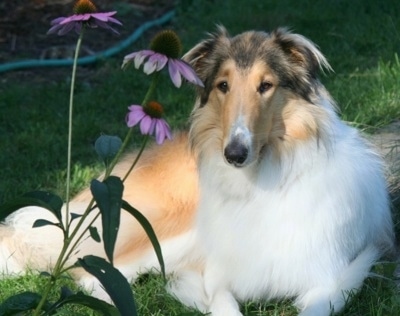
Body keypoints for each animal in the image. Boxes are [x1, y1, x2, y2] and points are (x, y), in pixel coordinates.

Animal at [0, 27, 394, 316]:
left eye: (266, 86)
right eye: (223, 86)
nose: (234, 154)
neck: (262, 181)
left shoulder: (329, 280)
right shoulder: (216, 275)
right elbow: (223, 304)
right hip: (162, 228)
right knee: (90, 270)